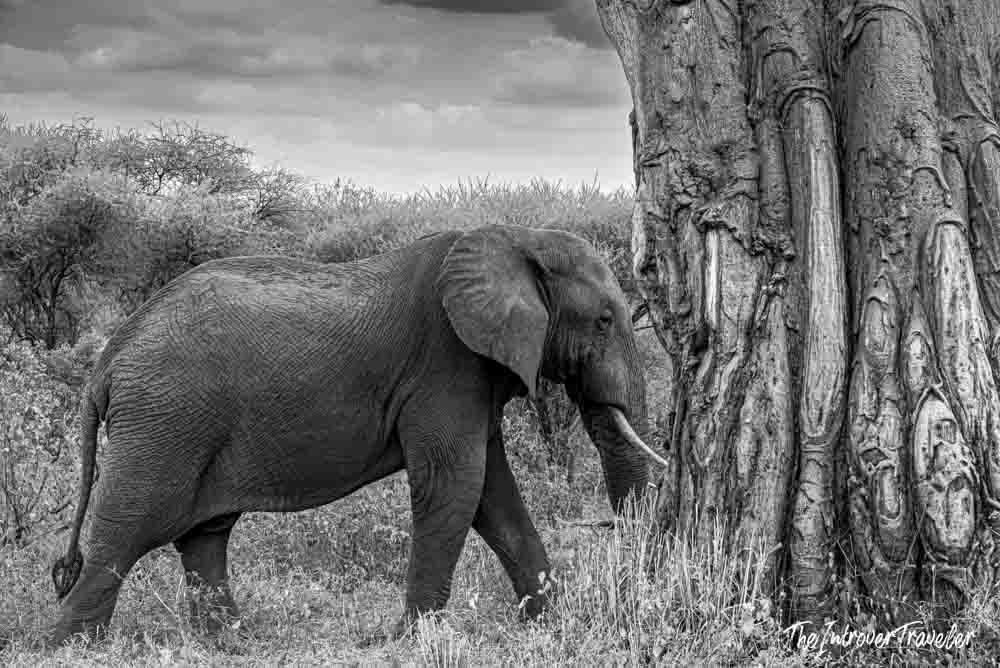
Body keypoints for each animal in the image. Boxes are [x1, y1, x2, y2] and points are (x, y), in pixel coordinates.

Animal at [48, 224, 666, 646]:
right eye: (604, 322)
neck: (514, 237)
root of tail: (106, 363)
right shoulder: (446, 365)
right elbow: (455, 486)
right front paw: (413, 639)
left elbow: (493, 494)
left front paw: (551, 621)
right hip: (164, 421)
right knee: (129, 527)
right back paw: (75, 647)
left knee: (203, 534)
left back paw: (232, 642)